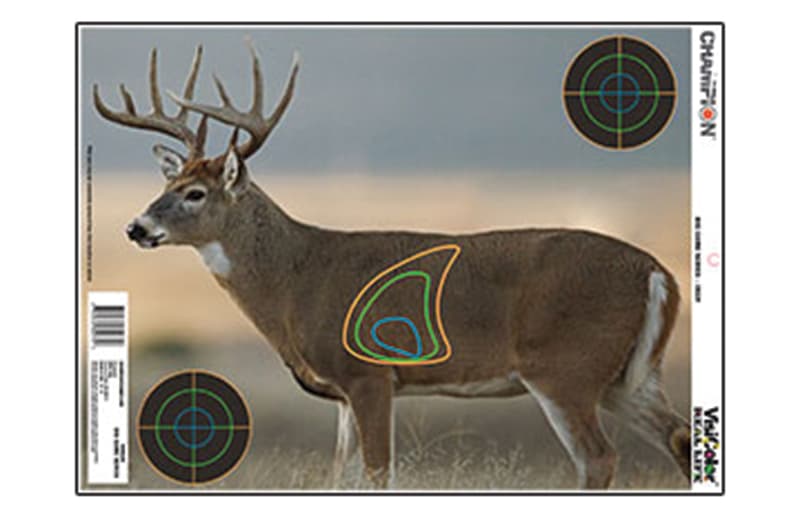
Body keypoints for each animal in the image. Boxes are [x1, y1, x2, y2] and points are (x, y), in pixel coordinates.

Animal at [93, 41, 691, 490]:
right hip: (628, 377)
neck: (296, 279)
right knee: (681, 438)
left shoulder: (370, 373)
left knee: (599, 457)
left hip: (564, 368)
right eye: (167, 184)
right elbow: (342, 477)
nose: (136, 228)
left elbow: (379, 475)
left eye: (194, 193)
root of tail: (658, 273)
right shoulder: (341, 393)